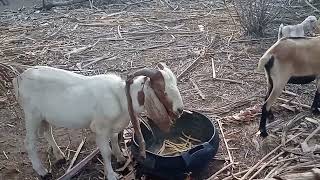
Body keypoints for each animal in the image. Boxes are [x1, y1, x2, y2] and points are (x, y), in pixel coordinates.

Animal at [13, 62, 184, 179]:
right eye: (162, 89)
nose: (180, 110)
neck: (119, 96)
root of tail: (20, 78)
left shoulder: (113, 127)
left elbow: (114, 140)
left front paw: (121, 158)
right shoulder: (100, 129)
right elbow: (106, 152)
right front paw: (112, 175)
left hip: (44, 116)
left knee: (46, 131)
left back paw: (60, 156)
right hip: (32, 115)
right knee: (29, 142)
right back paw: (42, 171)